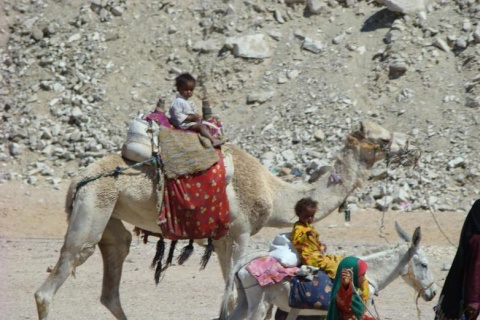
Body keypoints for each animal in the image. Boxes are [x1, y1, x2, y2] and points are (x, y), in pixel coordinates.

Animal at [33, 121, 416, 318]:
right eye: (384, 138)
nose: (411, 146)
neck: (275, 193)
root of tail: (76, 179)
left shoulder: (218, 241)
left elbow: (228, 296)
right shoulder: (239, 233)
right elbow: (232, 297)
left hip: (109, 214)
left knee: (113, 272)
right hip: (94, 203)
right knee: (56, 279)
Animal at [219, 222, 436, 320]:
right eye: (424, 265)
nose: (433, 293)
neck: (368, 274)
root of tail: (246, 259)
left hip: (245, 301)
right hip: (260, 305)